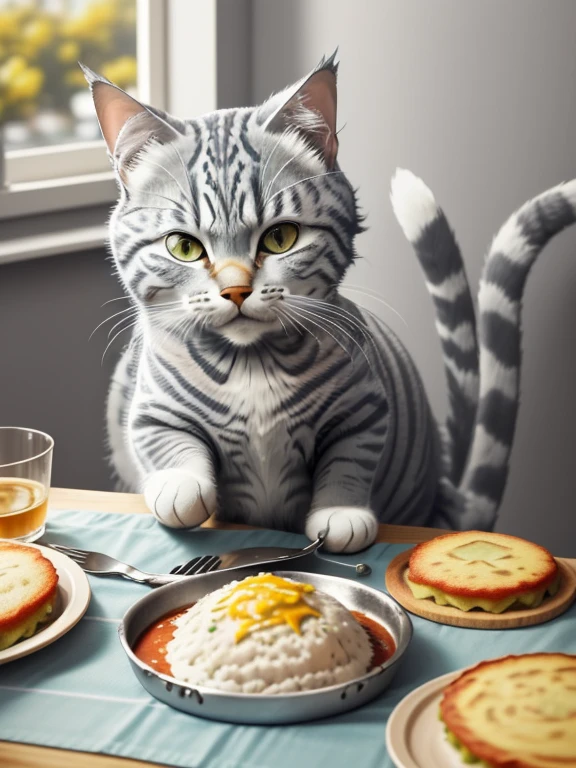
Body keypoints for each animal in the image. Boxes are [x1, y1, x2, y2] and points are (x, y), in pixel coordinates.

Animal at [83, 55, 576, 552]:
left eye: (280, 238)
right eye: (183, 247)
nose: (236, 291)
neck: (251, 366)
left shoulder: (365, 408)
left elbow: (349, 460)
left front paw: (341, 514)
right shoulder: (149, 410)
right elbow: (167, 443)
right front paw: (179, 487)